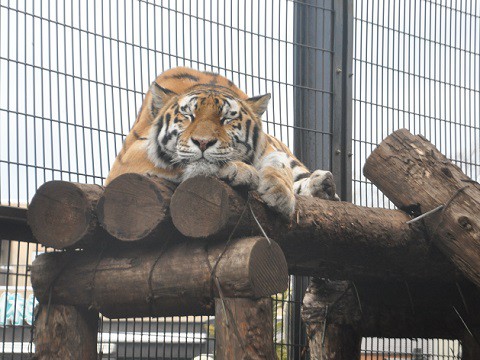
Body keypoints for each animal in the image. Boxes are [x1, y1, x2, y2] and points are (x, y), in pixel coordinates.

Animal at [108, 68, 342, 219]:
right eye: (188, 115)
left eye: (227, 118)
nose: (203, 142)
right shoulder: (129, 157)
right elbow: (184, 164)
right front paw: (242, 171)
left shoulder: (269, 148)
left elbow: (279, 162)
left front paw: (280, 193)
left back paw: (324, 186)